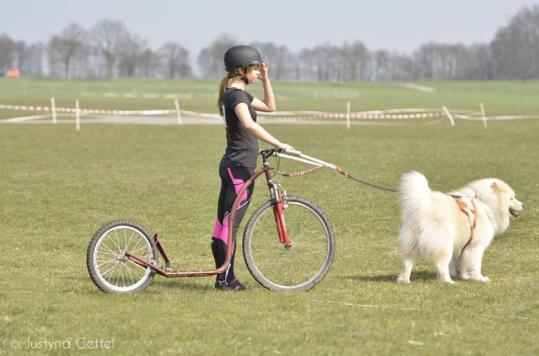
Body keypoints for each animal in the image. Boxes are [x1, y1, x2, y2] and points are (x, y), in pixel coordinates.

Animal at [394, 172, 524, 284]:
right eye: (512, 198)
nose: (524, 205)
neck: (485, 204)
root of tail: (422, 206)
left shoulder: (462, 246)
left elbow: (460, 263)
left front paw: (463, 276)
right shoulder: (475, 246)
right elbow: (475, 264)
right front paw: (479, 278)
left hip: (413, 243)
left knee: (407, 262)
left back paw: (404, 280)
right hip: (444, 243)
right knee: (441, 264)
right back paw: (448, 281)